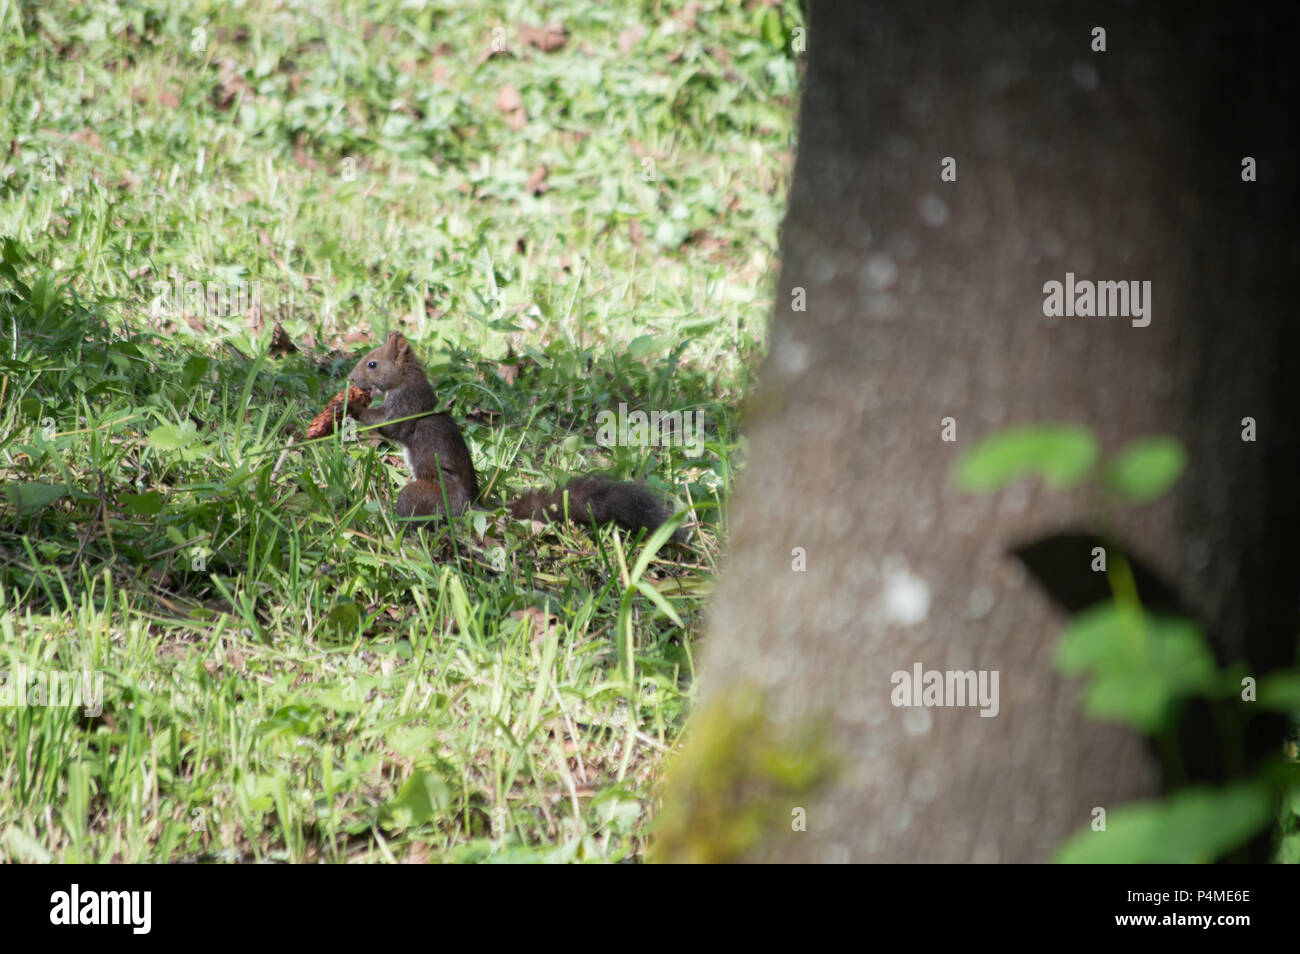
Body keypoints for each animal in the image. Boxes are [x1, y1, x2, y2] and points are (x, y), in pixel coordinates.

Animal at [347, 331, 687, 542]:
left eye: (373, 364)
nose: (351, 378)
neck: (406, 378)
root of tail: (471, 506)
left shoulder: (406, 407)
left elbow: (390, 425)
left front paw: (353, 410)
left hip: (425, 493)